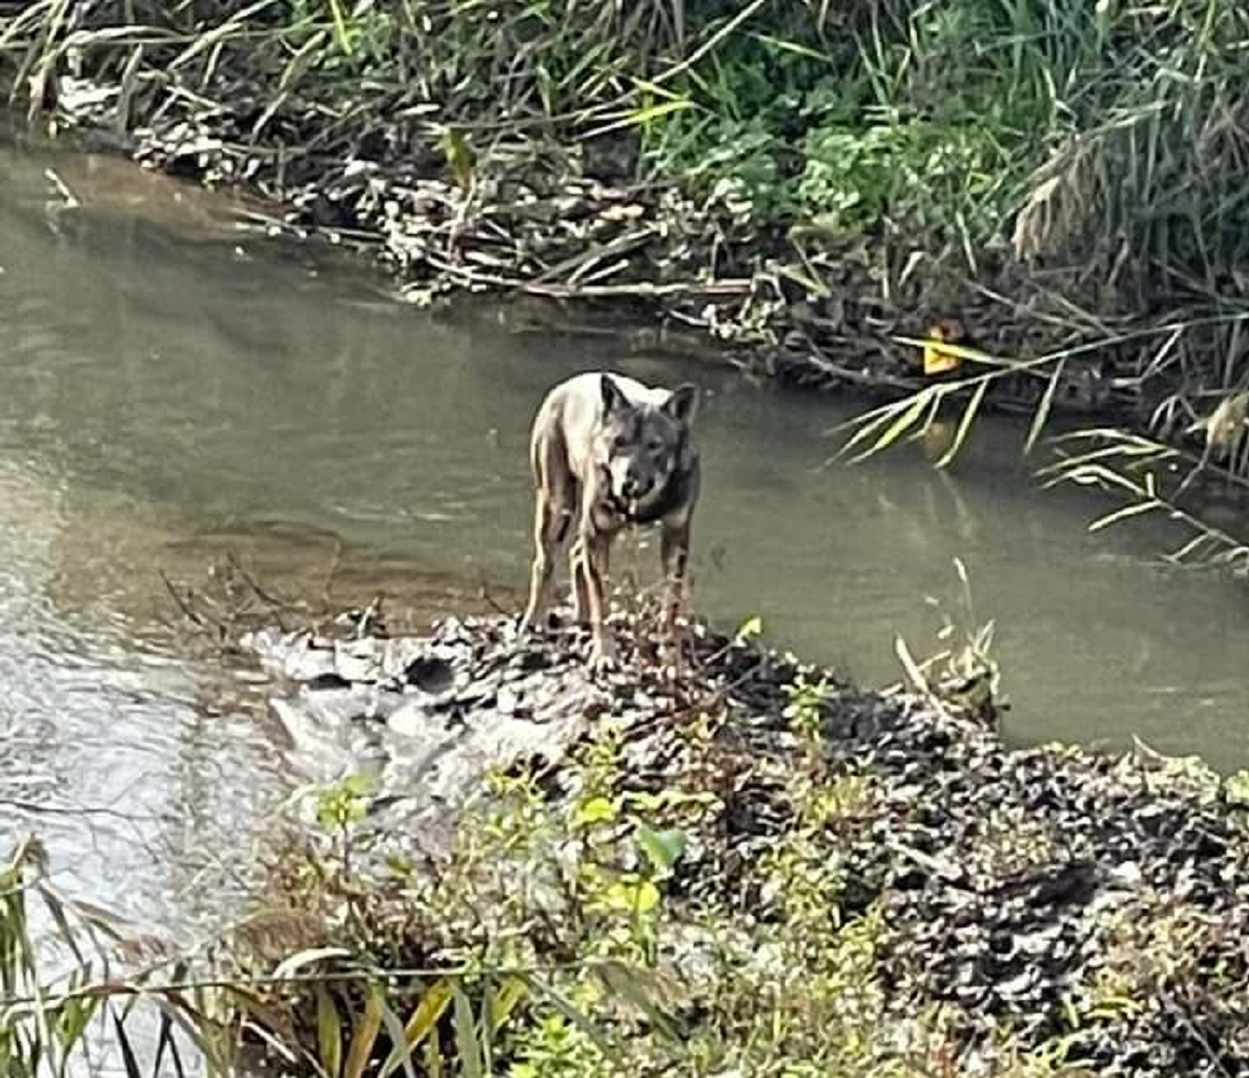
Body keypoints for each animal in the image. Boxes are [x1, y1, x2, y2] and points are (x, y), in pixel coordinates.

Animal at [517, 374, 704, 669]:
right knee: (544, 564)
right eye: (619, 441)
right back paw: (533, 622)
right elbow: (601, 602)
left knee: (575, 556)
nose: (628, 483)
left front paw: (671, 657)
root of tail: (565, 385)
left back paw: (580, 618)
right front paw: (604, 654)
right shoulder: (598, 533)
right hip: (558, 508)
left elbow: (671, 604)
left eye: (655, 445)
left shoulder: (676, 537)